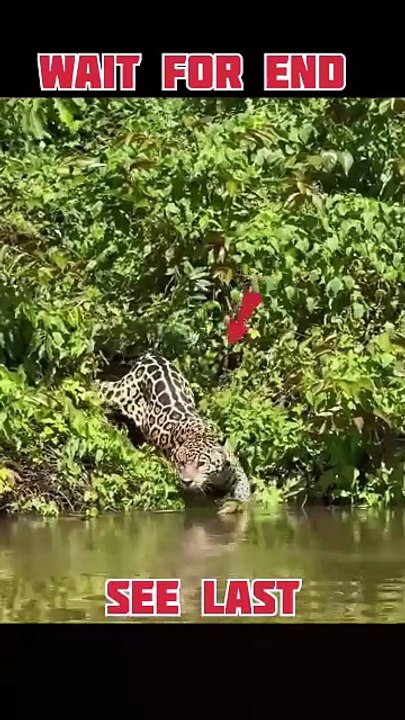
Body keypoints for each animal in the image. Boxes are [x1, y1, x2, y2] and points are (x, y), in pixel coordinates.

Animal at [96, 352, 251, 514]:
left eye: (201, 464)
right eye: (182, 463)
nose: (187, 481)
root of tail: (151, 356)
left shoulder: (236, 471)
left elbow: (243, 490)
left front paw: (235, 503)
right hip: (118, 394)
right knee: (102, 386)